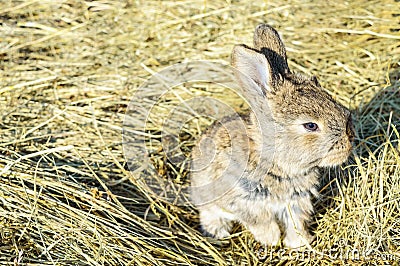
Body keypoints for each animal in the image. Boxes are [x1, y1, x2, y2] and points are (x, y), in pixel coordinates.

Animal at [189, 23, 354, 249]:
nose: (350, 139)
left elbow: (296, 223)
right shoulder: (243, 202)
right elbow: (261, 222)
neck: (274, 161)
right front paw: (272, 240)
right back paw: (217, 233)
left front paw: (299, 243)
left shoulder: (296, 202)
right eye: (310, 125)